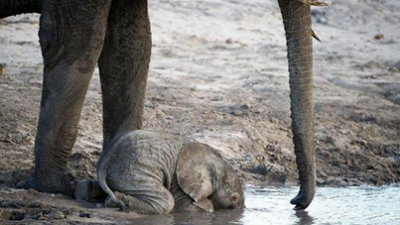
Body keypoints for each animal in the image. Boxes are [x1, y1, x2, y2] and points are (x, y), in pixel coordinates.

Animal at [75, 129, 244, 214]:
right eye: (233, 198)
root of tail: (104, 163)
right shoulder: (180, 181)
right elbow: (186, 206)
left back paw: (83, 192)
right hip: (136, 171)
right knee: (166, 201)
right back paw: (115, 202)